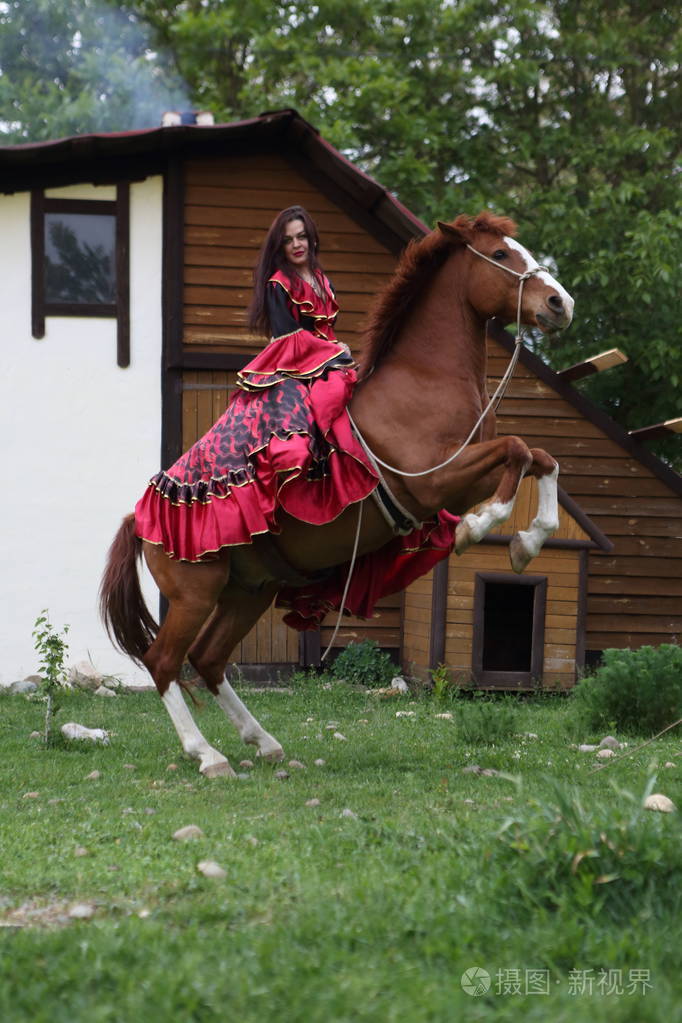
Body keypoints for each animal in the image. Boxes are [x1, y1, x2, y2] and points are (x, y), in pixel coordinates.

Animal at [100, 212, 574, 777]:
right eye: (501, 255)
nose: (560, 303)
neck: (424, 380)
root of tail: (140, 518)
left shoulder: (463, 478)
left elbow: (540, 457)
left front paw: (530, 540)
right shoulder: (432, 480)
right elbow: (519, 451)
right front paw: (478, 530)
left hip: (248, 593)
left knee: (208, 659)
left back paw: (264, 742)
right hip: (196, 596)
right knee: (163, 662)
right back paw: (208, 755)